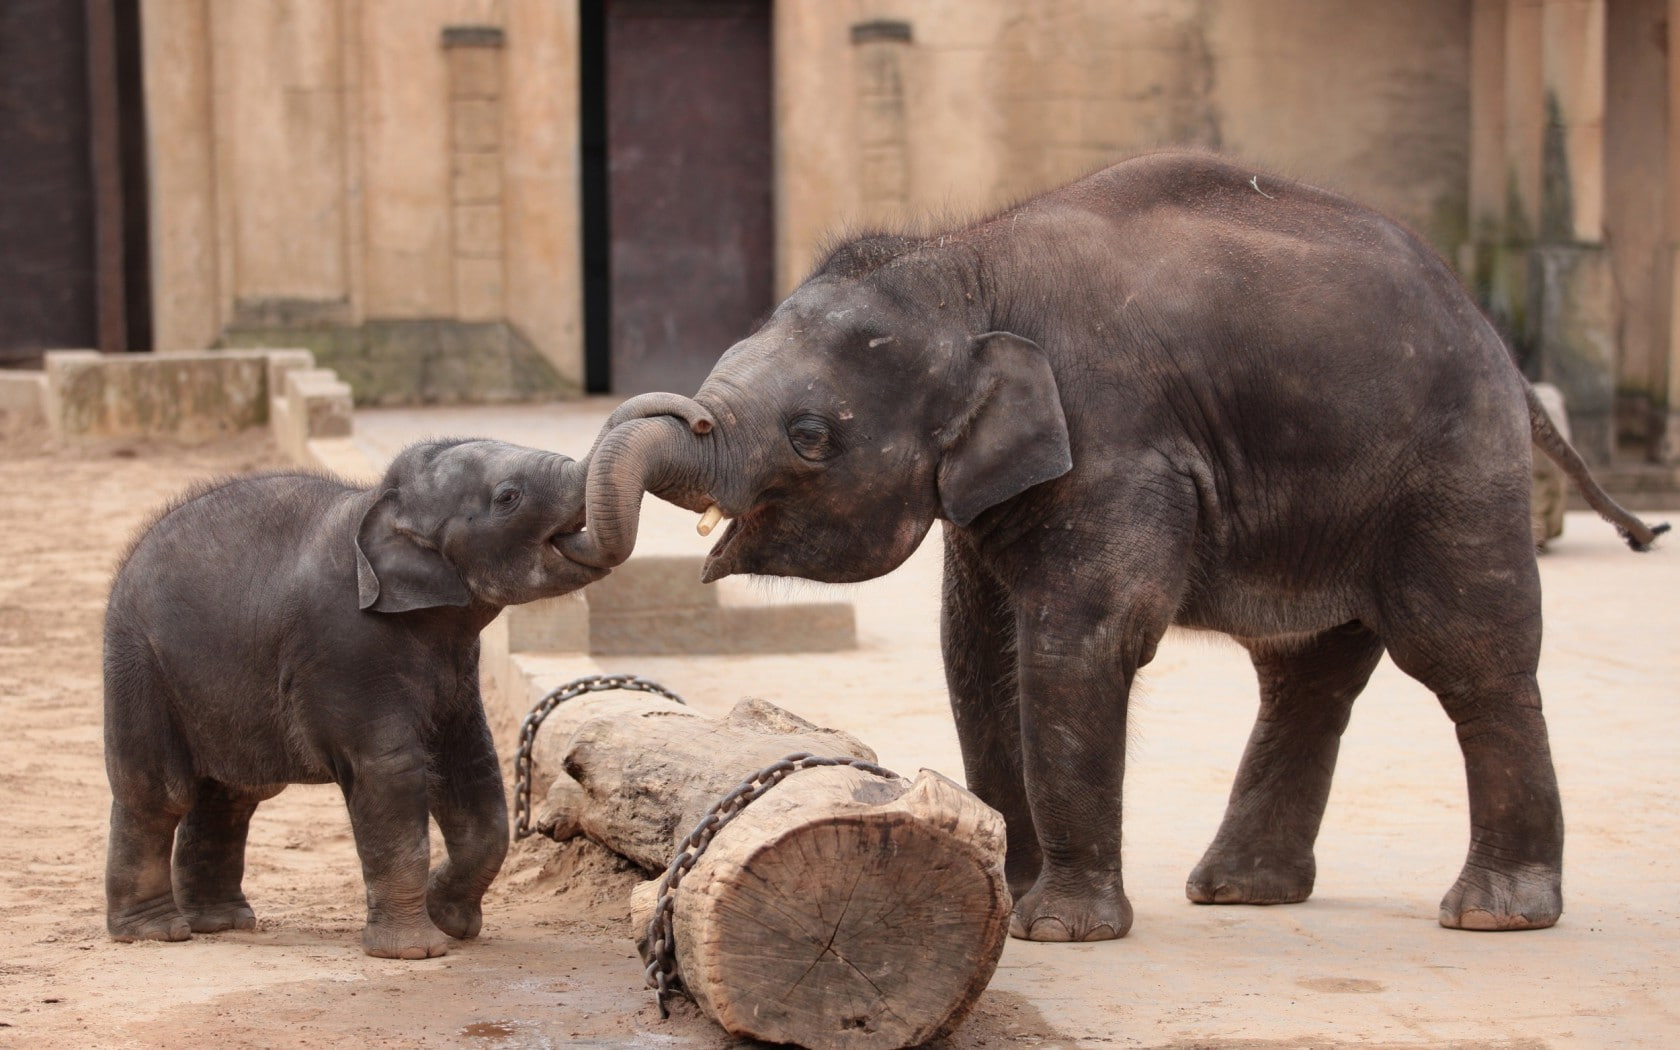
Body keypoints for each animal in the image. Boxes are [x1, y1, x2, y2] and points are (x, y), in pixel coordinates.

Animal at [103, 438, 603, 958]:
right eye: (509, 497)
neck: (379, 503)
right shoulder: (344, 648)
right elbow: (390, 769)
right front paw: (415, 951)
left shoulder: (460, 670)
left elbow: (472, 767)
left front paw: (448, 921)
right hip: (138, 666)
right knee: (159, 794)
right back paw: (155, 932)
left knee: (233, 793)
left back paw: (223, 923)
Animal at [562, 151, 1669, 942]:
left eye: (810, 436)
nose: (686, 414)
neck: (969, 266)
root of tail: (1501, 350)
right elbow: (977, 655)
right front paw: (1006, 893)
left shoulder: (1116, 444)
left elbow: (1078, 646)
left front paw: (1059, 929)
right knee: (1305, 674)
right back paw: (1239, 893)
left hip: (1450, 470)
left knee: (1467, 657)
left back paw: (1493, 913)